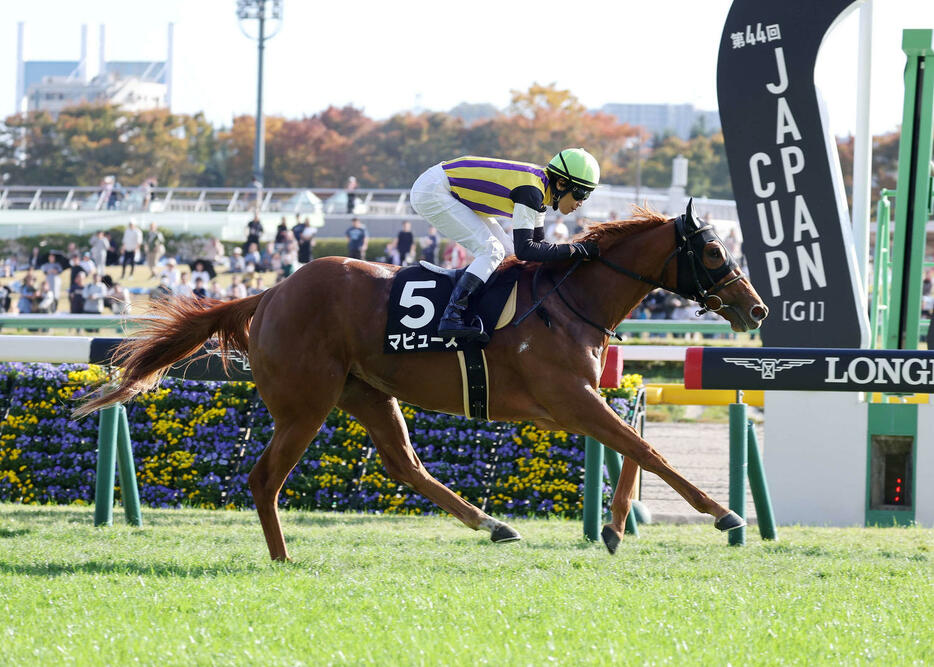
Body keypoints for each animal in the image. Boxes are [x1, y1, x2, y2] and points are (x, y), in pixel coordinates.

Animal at [78, 204, 768, 560]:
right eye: (713, 251)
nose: (756, 308)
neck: (569, 299)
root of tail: (268, 293)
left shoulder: (569, 404)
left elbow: (634, 446)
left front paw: (615, 528)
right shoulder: (568, 398)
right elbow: (647, 450)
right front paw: (724, 515)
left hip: (365, 392)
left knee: (404, 464)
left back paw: (492, 524)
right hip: (305, 404)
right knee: (264, 478)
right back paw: (281, 557)